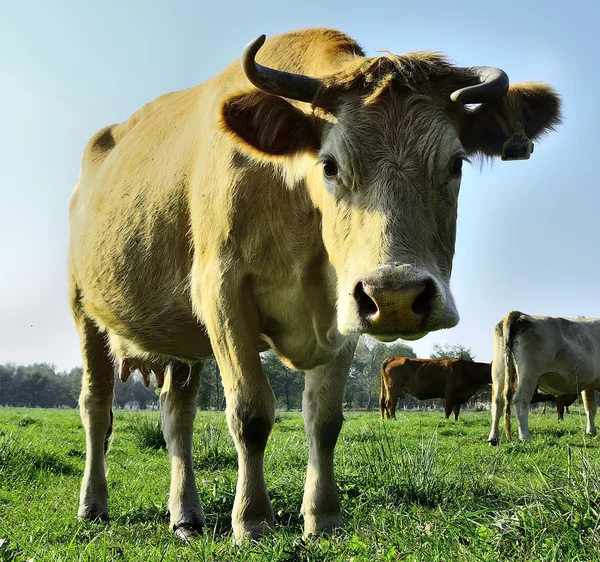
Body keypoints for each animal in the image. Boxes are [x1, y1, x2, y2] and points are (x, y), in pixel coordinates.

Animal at [69, 28, 564, 540]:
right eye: (329, 164)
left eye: (457, 163)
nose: (397, 297)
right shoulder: (222, 295)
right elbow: (250, 413)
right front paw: (252, 520)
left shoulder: (344, 311)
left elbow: (324, 419)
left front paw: (322, 516)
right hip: (83, 307)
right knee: (96, 407)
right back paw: (93, 504)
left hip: (184, 342)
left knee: (176, 415)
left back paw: (185, 515)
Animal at [488, 308, 600, 444]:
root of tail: (518, 313)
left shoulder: (588, 384)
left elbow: (590, 407)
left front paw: (591, 431)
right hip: (529, 373)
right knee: (520, 400)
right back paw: (525, 437)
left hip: (499, 370)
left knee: (497, 401)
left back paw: (493, 438)